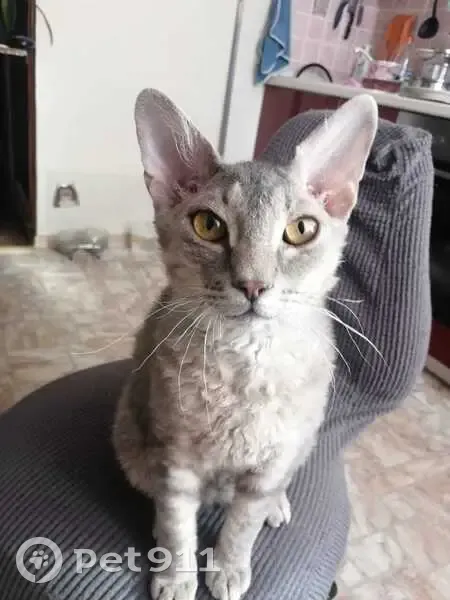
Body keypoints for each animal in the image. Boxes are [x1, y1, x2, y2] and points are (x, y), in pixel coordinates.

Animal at [113, 89, 378, 600]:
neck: (244, 370)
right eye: (208, 225)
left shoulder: (270, 463)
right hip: (130, 435)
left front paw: (229, 568)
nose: (253, 284)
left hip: (304, 440)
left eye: (300, 229)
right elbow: (176, 521)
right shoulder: (175, 457)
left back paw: (276, 506)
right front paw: (176, 575)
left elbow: (243, 523)